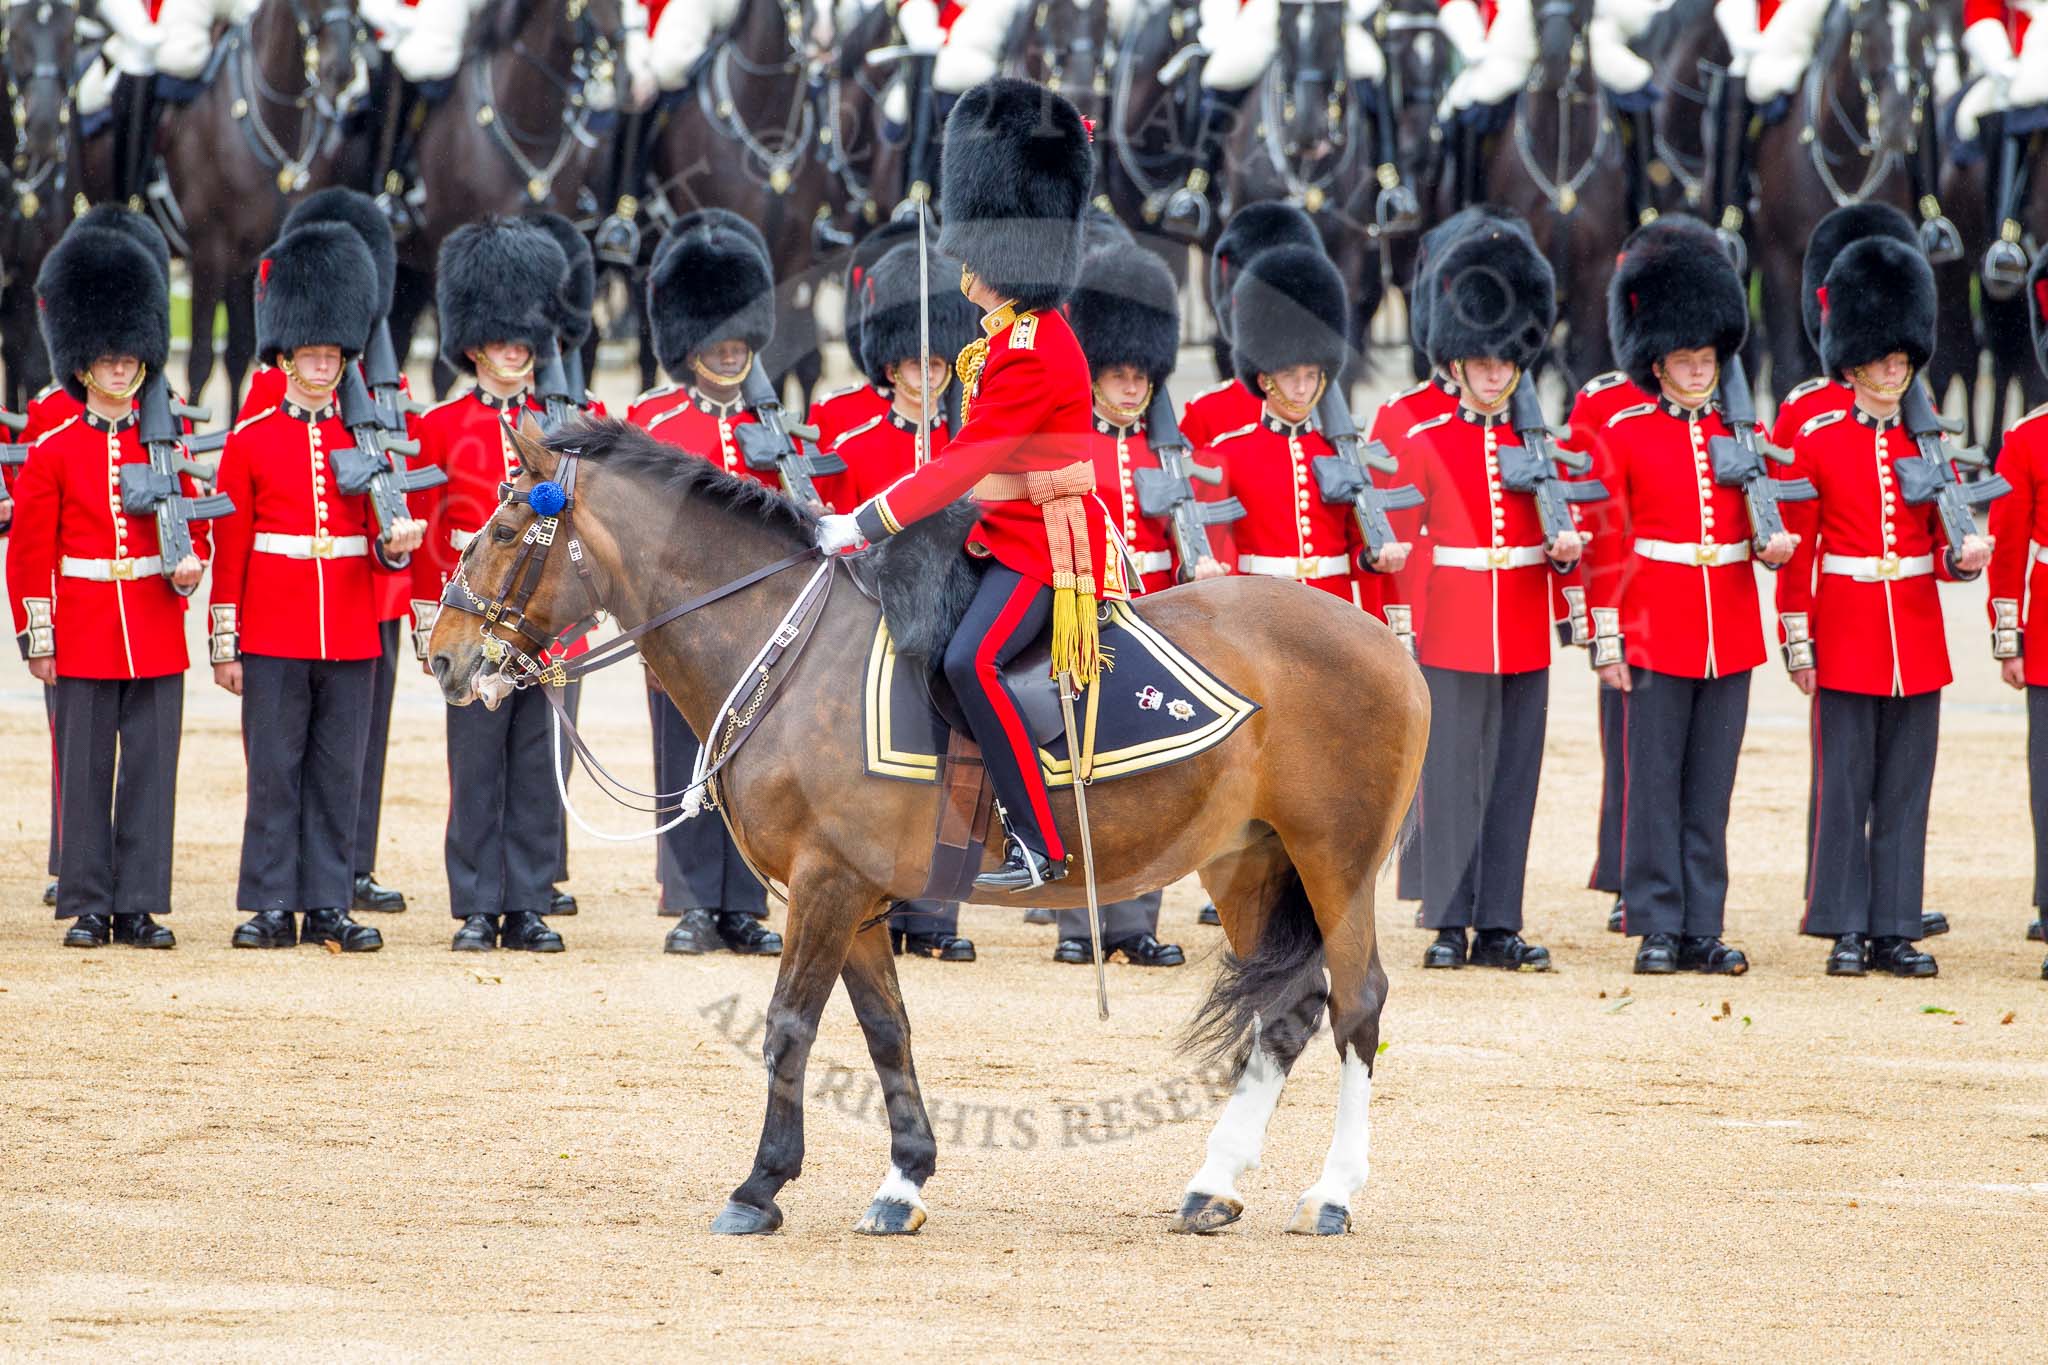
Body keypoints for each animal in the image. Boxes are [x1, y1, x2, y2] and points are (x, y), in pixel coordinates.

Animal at [430, 421, 1425, 1244]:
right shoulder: (856, 894)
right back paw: (1214, 1183)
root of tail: (1384, 638)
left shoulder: (827, 883)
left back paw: (1332, 1191)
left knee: (1359, 1002)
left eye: (508, 529)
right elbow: (885, 1030)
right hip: (1248, 862)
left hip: (1336, 861)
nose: (440, 654)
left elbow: (789, 1024)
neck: (790, 650)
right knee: (1286, 1011)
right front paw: (903, 1180)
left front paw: (760, 1186)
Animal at [1744, 0, 1933, 401]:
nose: (1897, 125)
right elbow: (1787, 367)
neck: (1846, 162)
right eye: (1865, 29)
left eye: (1920, 31)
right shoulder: (1781, 261)